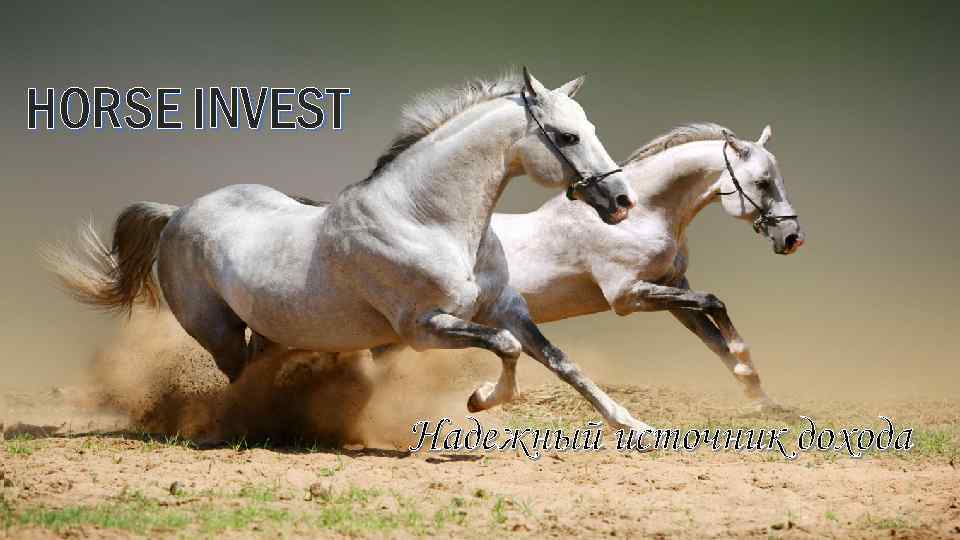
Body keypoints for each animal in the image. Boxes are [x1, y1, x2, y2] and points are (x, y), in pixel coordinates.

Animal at [47, 68, 658, 434]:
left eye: (589, 126)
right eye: (568, 136)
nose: (621, 201)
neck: (426, 219)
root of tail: (179, 213)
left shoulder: (506, 307)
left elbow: (561, 362)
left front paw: (637, 429)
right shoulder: (422, 328)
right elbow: (506, 350)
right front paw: (480, 400)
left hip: (271, 329)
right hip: (216, 331)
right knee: (239, 378)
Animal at [489, 124, 804, 410]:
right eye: (762, 182)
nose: (792, 238)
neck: (639, 217)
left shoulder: (673, 287)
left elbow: (714, 340)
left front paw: (762, 400)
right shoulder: (627, 296)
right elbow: (713, 302)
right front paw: (745, 362)